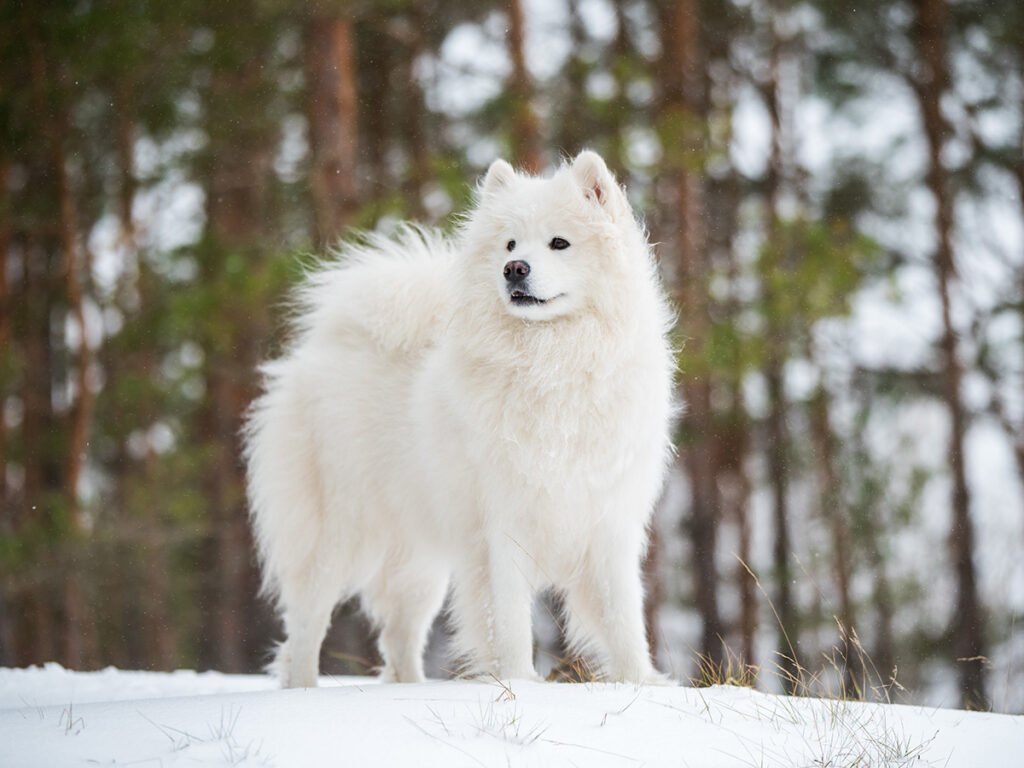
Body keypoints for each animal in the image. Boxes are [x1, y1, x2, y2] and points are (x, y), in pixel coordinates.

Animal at [246, 151, 675, 692]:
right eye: (509, 244)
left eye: (559, 243)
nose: (514, 269)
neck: (552, 364)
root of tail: (324, 347)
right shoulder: (503, 523)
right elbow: (510, 619)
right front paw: (519, 683)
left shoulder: (607, 519)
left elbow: (623, 617)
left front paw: (640, 683)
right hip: (341, 530)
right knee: (308, 620)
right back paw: (301, 690)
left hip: (418, 561)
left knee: (399, 635)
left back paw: (408, 688)